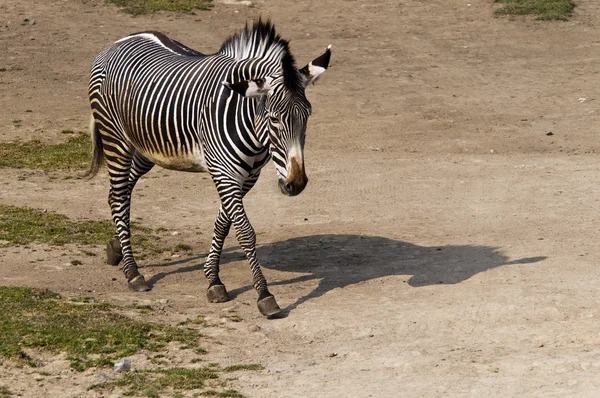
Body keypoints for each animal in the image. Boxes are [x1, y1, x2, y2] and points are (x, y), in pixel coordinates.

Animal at [85, 20, 330, 318]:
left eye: (307, 115)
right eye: (274, 119)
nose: (296, 184)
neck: (250, 126)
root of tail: (121, 40)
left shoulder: (247, 177)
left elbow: (223, 224)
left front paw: (213, 280)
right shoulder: (225, 173)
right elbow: (245, 232)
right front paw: (264, 295)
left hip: (148, 147)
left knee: (118, 193)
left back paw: (115, 250)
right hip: (115, 138)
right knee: (120, 196)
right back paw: (133, 273)